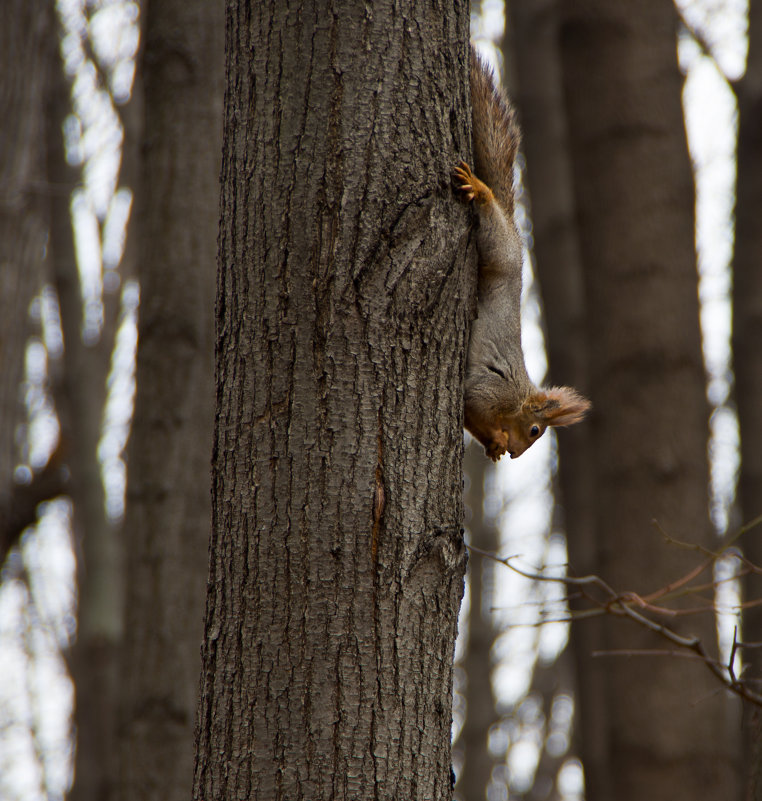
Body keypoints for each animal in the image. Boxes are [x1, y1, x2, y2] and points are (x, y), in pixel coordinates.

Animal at [452, 48, 588, 462]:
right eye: (534, 431)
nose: (515, 454)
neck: (516, 400)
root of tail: (515, 229)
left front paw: (493, 445)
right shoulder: (490, 390)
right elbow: (472, 403)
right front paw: (496, 440)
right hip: (501, 250)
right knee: (490, 216)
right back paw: (481, 190)